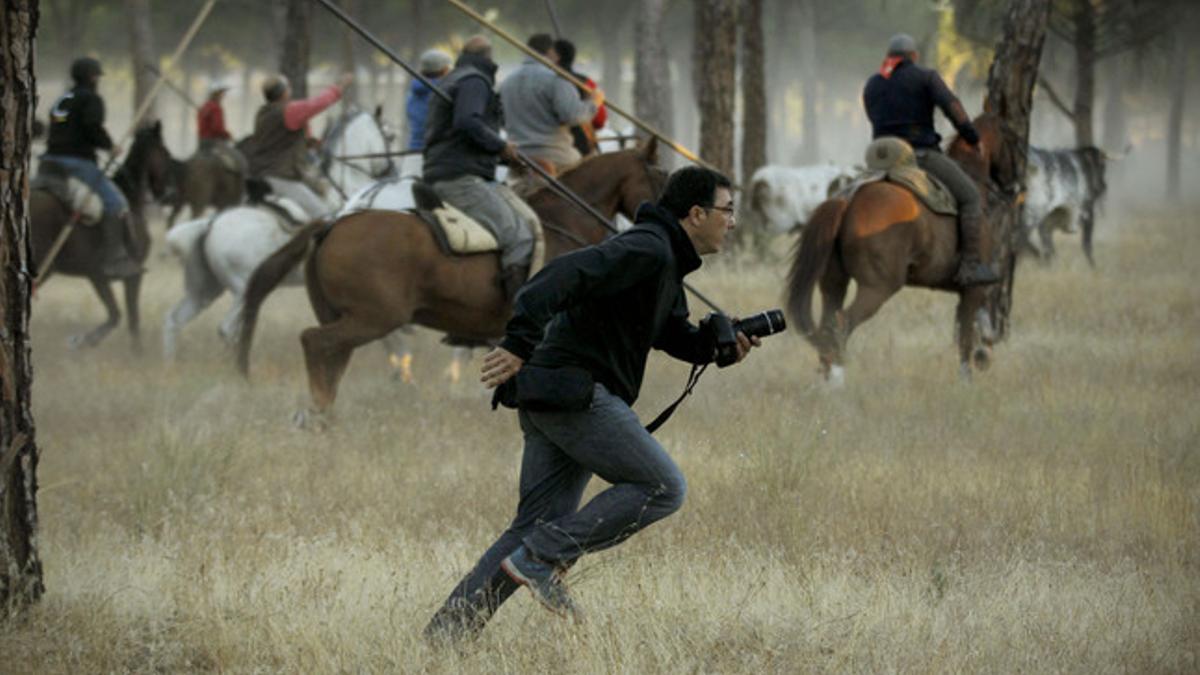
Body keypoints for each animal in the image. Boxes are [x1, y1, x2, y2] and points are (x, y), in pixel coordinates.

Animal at [31, 120, 172, 353]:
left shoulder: (97, 277)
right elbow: (126, 317)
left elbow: (120, 316)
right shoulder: (122, 275)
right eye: (165, 153)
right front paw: (82, 341)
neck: (131, 200)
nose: (168, 192)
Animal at [163, 110, 403, 362]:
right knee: (227, 329)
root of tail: (211, 224)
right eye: (390, 136)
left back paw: (170, 363)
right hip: (242, 290)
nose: (393, 171)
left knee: (174, 320)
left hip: (206, 290)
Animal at [234, 138, 667, 420]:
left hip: (346, 317)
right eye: (662, 177)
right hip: (373, 318)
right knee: (316, 343)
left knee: (331, 356)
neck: (564, 223)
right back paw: (319, 411)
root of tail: (331, 225)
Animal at [787, 112, 1022, 381]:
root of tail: (848, 200)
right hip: (878, 287)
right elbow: (966, 336)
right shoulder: (974, 288)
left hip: (834, 283)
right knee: (841, 324)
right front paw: (968, 377)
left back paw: (827, 380)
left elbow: (977, 326)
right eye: (1012, 140)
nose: (1014, 186)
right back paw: (838, 379)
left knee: (828, 325)